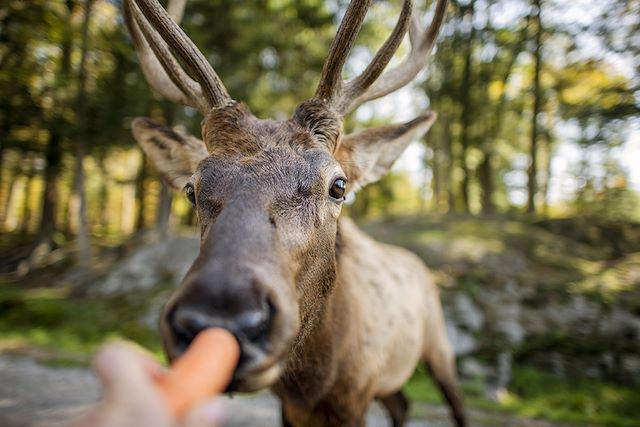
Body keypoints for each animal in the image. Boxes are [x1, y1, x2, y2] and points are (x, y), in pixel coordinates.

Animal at [124, 0, 464, 426]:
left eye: (339, 186)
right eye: (191, 189)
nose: (222, 315)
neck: (314, 383)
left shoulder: (356, 398)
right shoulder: (290, 408)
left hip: (439, 347)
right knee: (401, 403)